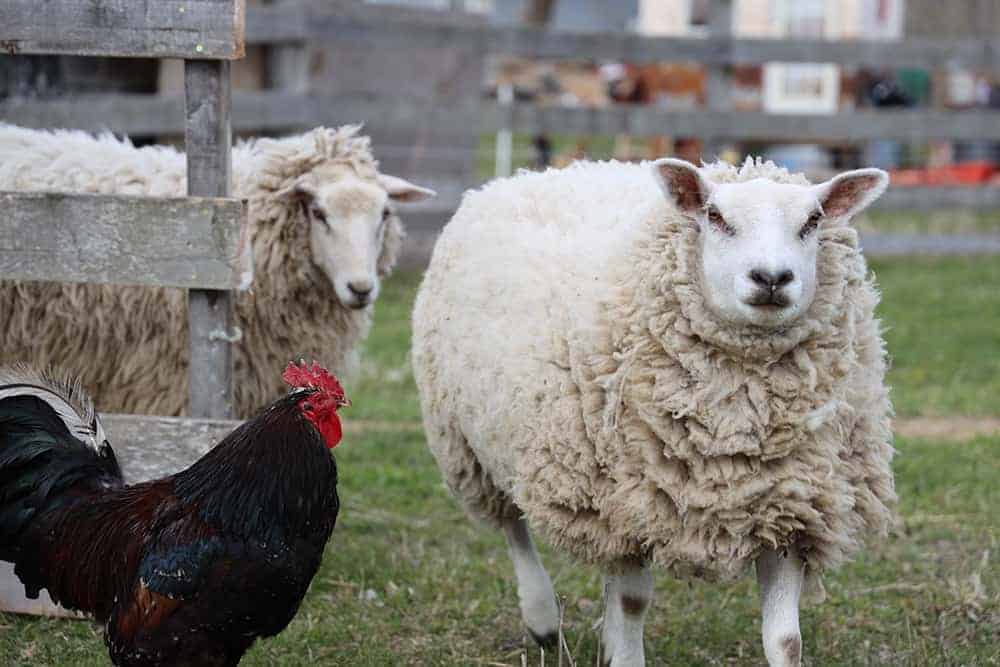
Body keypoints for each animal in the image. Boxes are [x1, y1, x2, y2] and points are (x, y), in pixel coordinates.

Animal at [410, 155, 896, 664]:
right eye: (715, 217)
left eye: (813, 221)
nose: (772, 278)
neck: (736, 429)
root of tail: (534, 173)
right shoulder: (625, 503)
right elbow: (633, 600)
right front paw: (621, 650)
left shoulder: (787, 509)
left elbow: (785, 639)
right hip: (471, 447)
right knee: (514, 527)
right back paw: (541, 617)